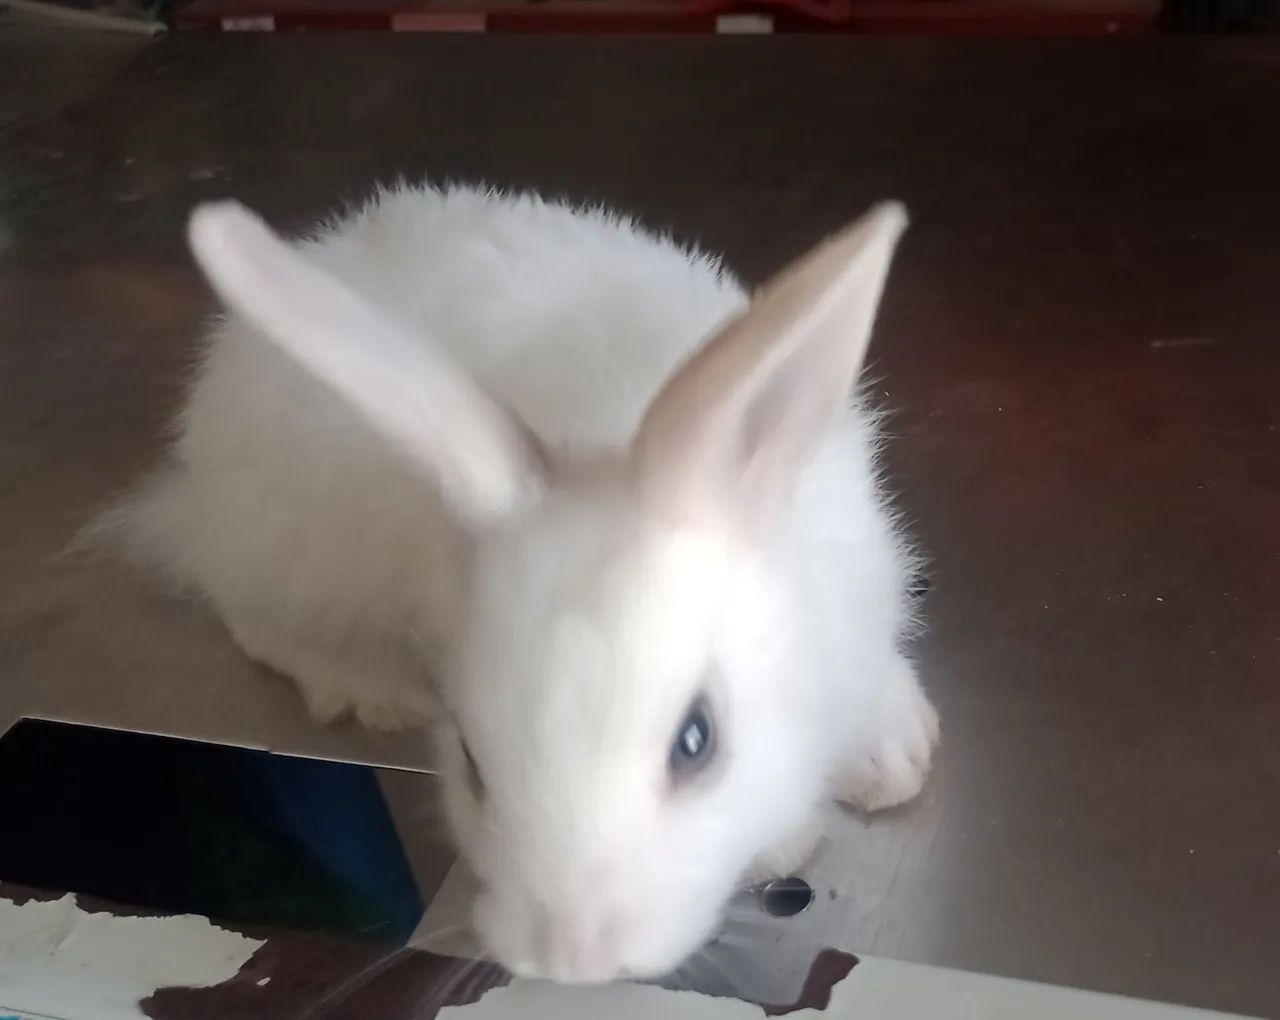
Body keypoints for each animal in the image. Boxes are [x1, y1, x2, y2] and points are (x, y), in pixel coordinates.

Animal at [96, 183, 939, 984]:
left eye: (697, 741)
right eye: (473, 763)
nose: (573, 959)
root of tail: (193, 490)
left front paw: (895, 762)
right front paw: (791, 841)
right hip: (291, 560)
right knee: (257, 622)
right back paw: (371, 690)